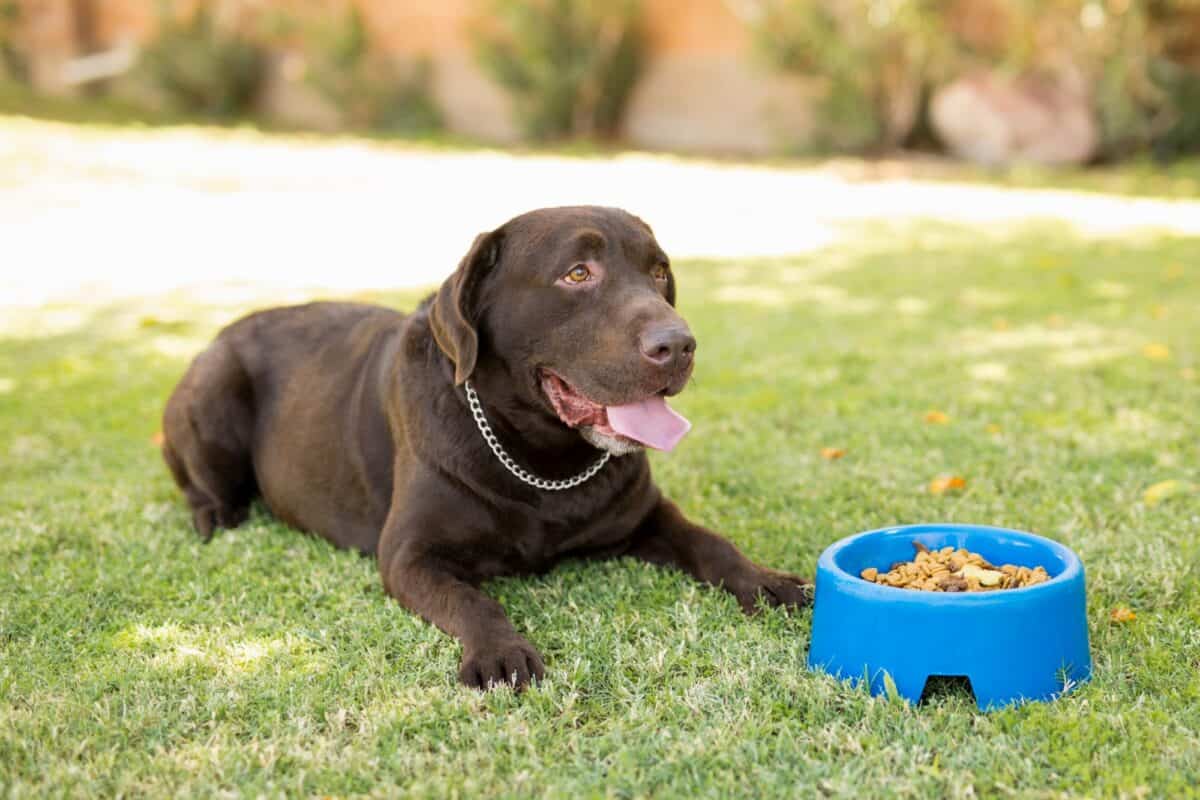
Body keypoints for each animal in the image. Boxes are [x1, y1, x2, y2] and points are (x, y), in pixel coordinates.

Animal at [164, 206, 811, 690]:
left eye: (659, 272)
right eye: (578, 274)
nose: (678, 344)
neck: (543, 460)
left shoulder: (647, 514)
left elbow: (710, 541)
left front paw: (766, 580)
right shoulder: (410, 555)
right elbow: (474, 603)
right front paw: (500, 652)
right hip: (214, 387)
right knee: (198, 484)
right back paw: (216, 513)